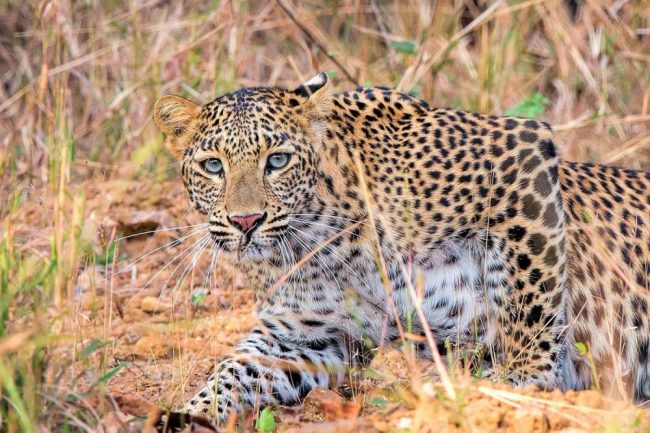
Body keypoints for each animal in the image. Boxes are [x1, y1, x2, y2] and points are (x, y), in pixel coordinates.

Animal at [153, 72, 650, 423]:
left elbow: (529, 305)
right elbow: (232, 373)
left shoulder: (518, 157)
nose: (246, 222)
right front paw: (187, 415)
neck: (327, 242)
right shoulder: (302, 336)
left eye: (277, 161)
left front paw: (521, 389)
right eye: (212, 166)